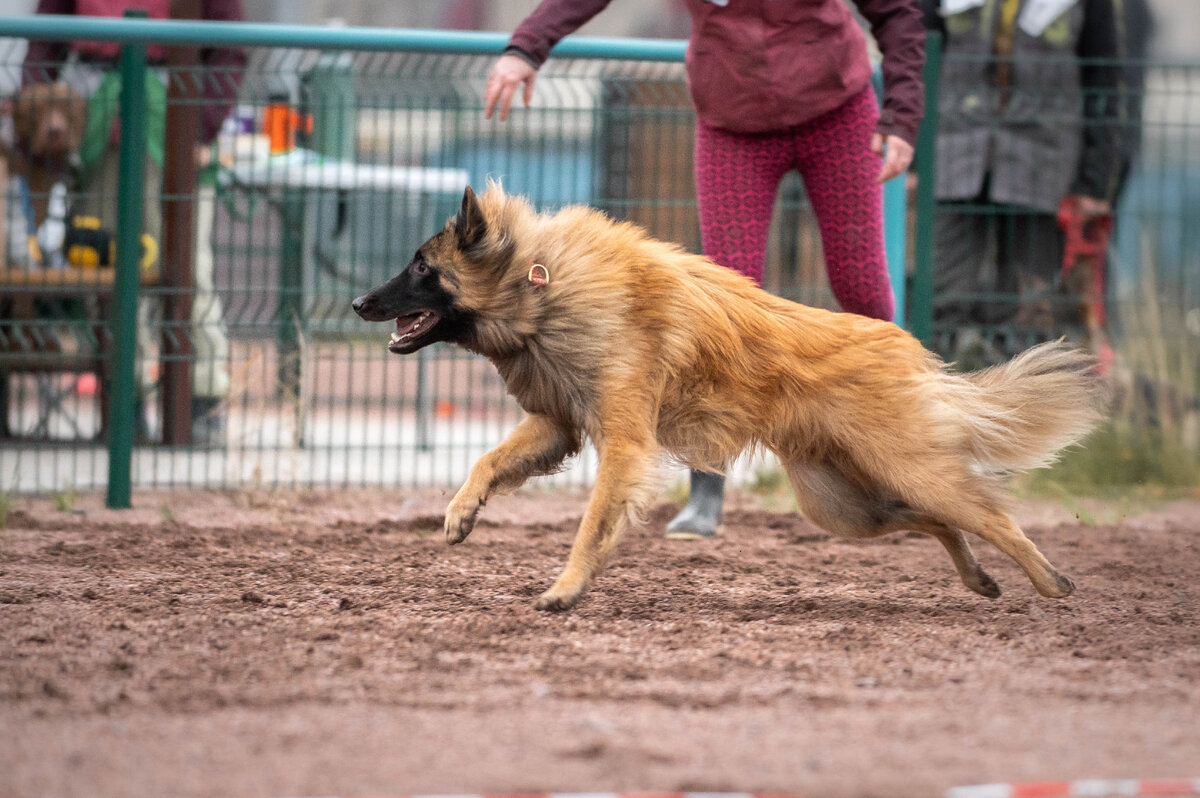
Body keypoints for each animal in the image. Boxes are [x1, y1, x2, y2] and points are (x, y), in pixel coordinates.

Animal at [353, 184, 1106, 612]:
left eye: (421, 267)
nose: (358, 303)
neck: (541, 284)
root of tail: (912, 352)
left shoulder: (625, 445)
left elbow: (593, 525)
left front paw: (565, 590)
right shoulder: (559, 423)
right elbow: (487, 459)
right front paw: (460, 513)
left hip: (908, 475)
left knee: (992, 518)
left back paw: (1051, 585)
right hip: (847, 508)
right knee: (942, 525)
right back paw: (980, 580)